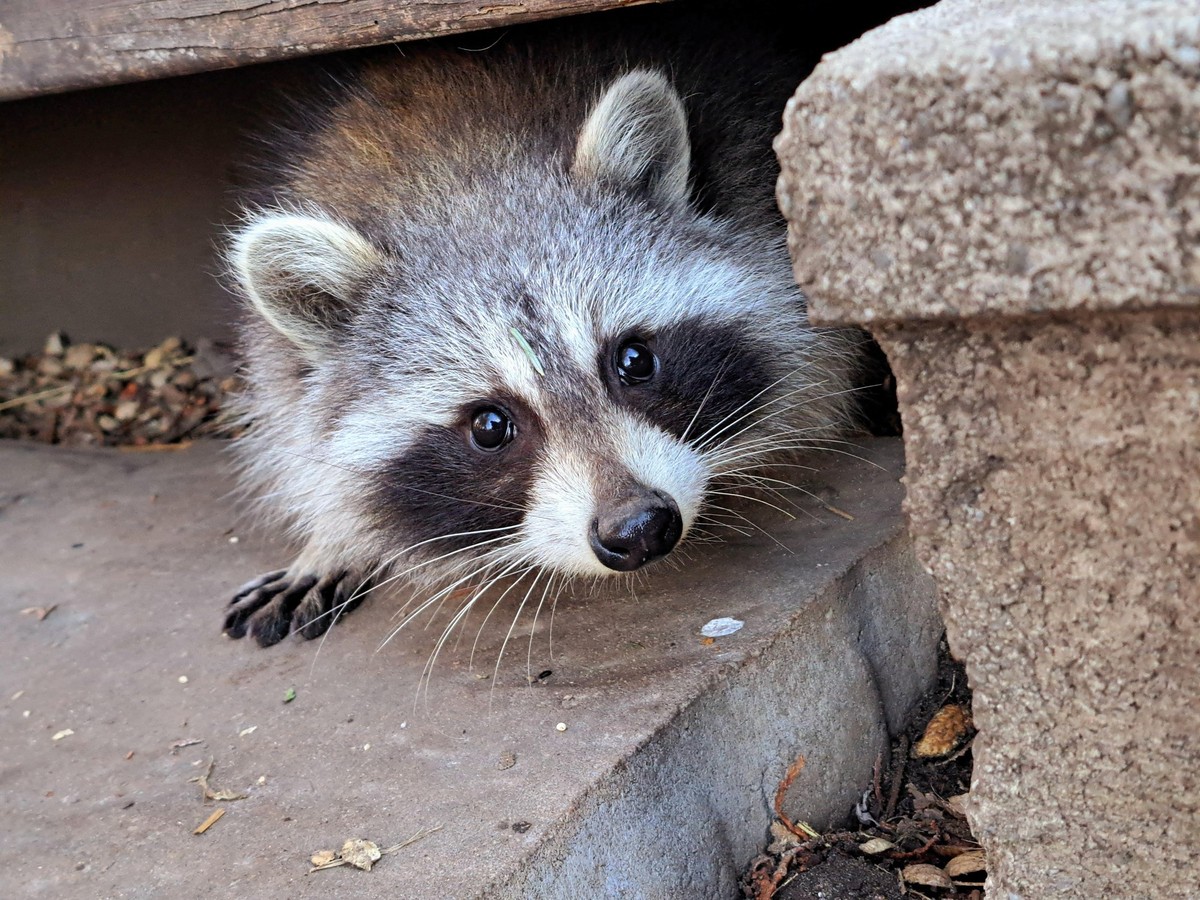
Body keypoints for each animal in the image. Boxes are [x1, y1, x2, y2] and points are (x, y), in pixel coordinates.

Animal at [222, 10, 862, 649]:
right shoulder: (279, 362)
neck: (465, 176)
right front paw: (333, 538)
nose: (638, 528)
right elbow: (301, 432)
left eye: (633, 360)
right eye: (489, 425)